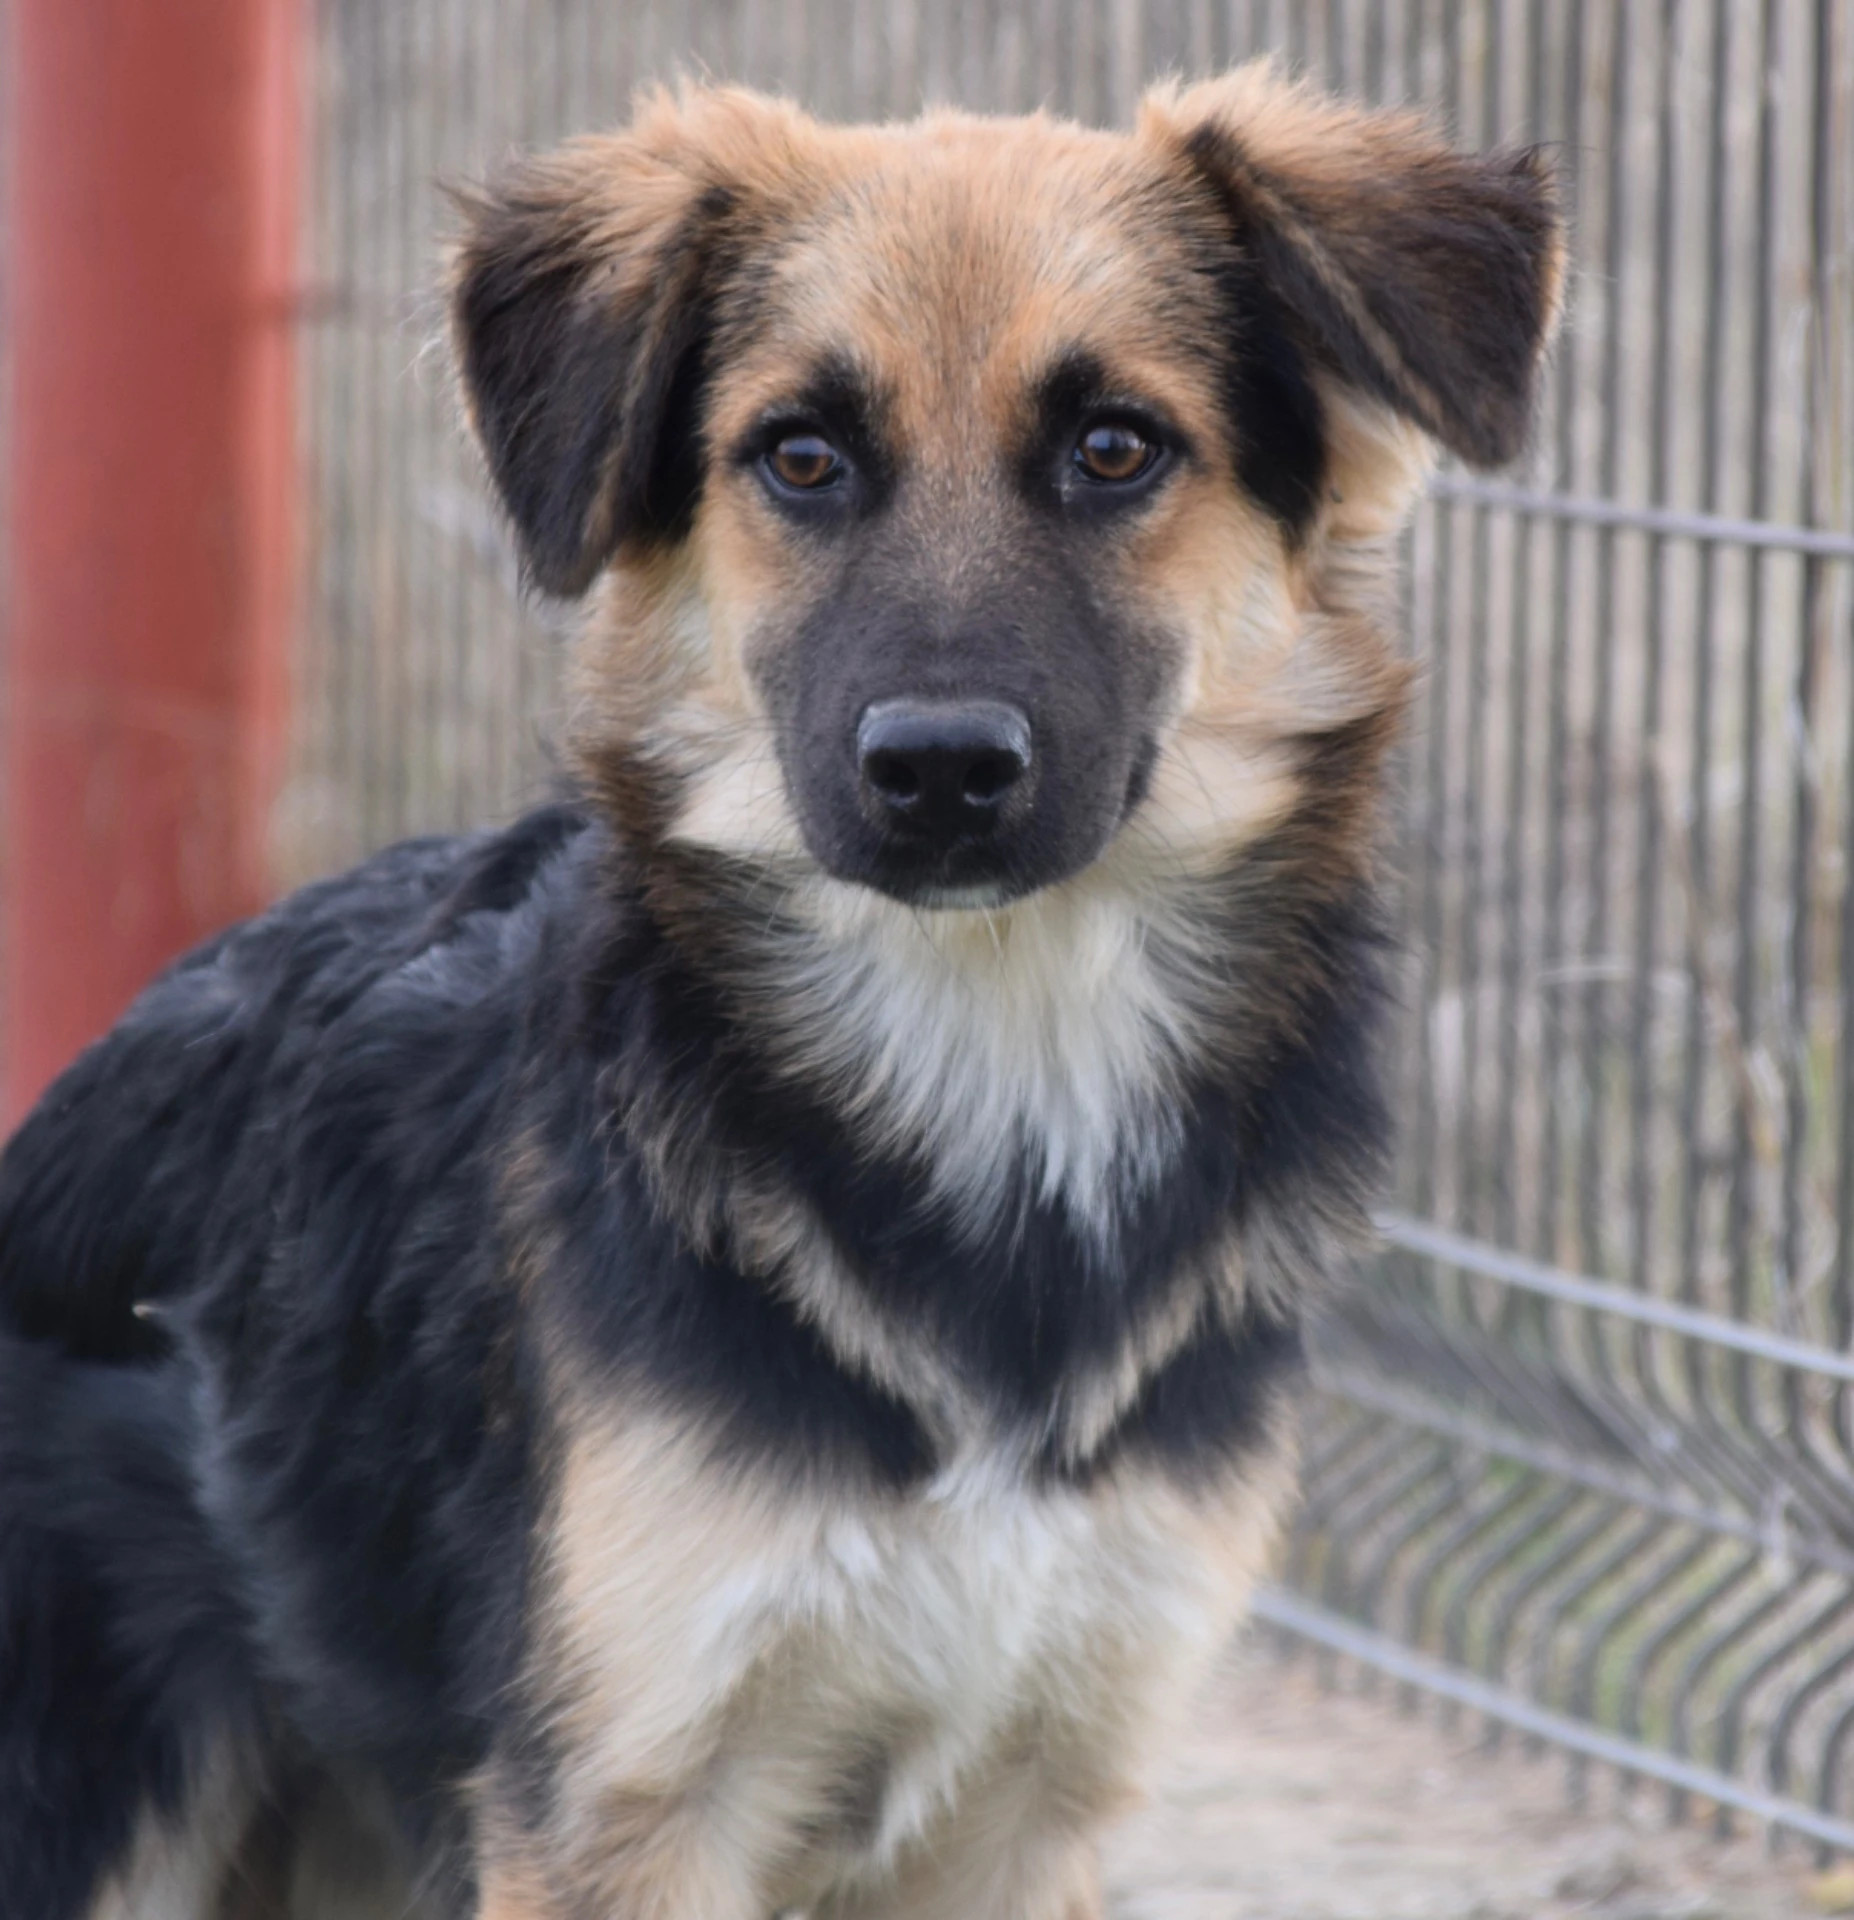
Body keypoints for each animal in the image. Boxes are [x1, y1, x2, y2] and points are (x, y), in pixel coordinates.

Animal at [0, 60, 1561, 1920]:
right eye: (799, 459)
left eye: (1115, 447)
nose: (941, 771)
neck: (996, 1061)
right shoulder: (624, 1798)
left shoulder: (1036, 1793)